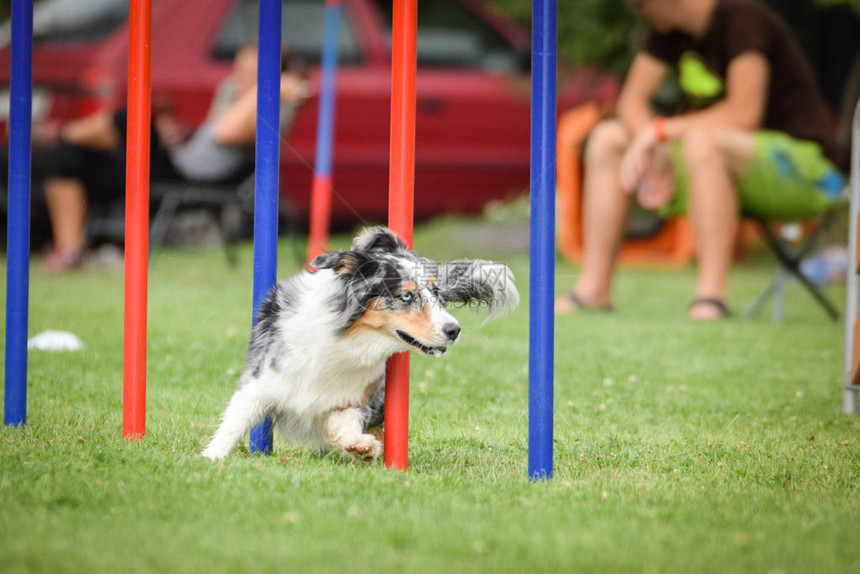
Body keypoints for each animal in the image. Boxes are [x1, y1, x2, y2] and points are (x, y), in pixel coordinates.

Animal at [202, 227, 516, 462]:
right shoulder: (261, 377)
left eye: (436, 292)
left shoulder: (358, 397)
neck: (348, 338)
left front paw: (360, 446)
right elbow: (237, 417)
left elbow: (340, 422)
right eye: (406, 296)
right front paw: (211, 458)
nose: (454, 330)